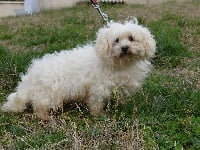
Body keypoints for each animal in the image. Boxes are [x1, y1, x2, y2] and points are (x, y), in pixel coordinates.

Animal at [1, 19, 156, 120]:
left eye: (131, 38)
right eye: (116, 40)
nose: (124, 48)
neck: (120, 64)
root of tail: (30, 76)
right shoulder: (98, 89)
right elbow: (96, 104)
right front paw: (99, 115)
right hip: (48, 95)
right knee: (38, 105)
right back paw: (44, 117)